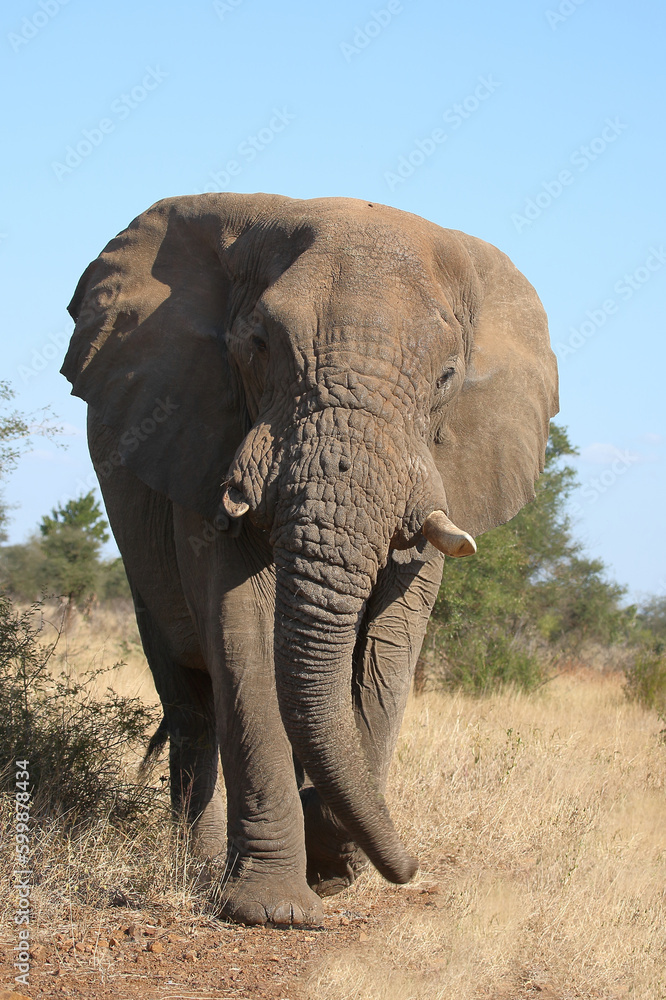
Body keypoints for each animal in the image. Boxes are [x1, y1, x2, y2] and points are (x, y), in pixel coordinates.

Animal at [61, 193, 558, 927]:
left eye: (447, 377)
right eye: (258, 345)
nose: (412, 868)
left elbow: (390, 648)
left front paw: (332, 865)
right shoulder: (206, 431)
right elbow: (243, 629)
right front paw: (277, 911)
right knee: (191, 701)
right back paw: (196, 865)